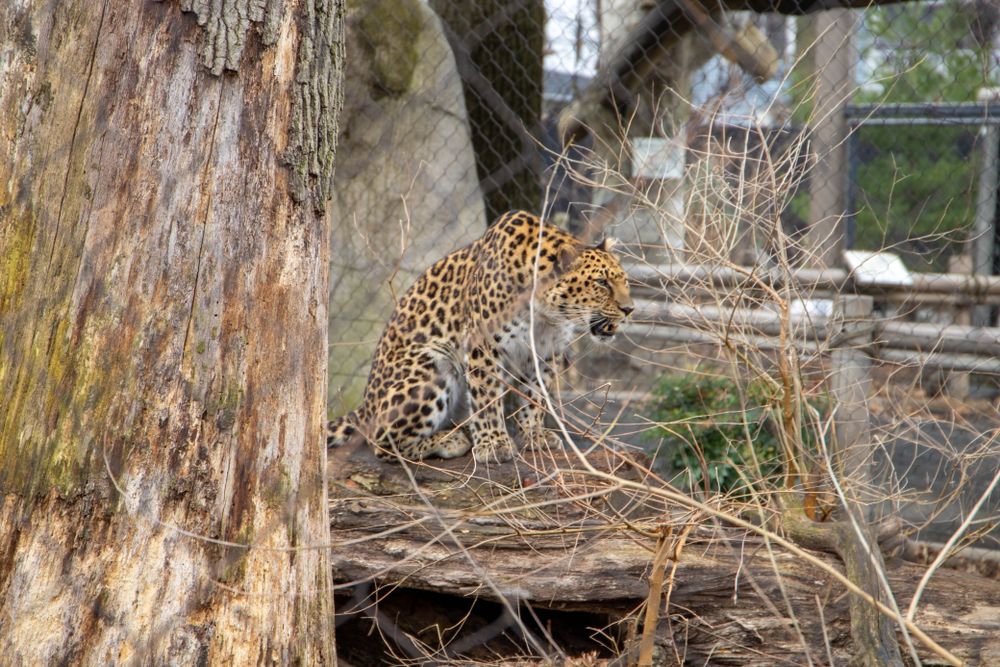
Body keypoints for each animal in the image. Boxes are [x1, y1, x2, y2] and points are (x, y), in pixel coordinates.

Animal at [327, 210, 634, 463]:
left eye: (624, 280)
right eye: (601, 283)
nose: (629, 309)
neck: (545, 314)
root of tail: (365, 408)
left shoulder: (546, 350)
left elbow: (535, 394)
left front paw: (533, 435)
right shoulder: (483, 343)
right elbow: (486, 396)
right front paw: (493, 445)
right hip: (433, 363)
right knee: (381, 442)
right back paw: (451, 440)